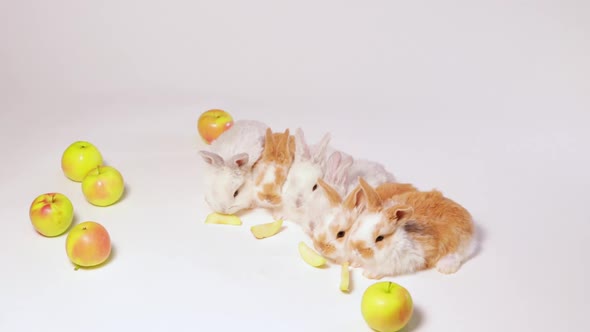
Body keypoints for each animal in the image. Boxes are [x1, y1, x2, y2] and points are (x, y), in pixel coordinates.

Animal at [350, 178, 478, 278]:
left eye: (380, 238)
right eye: (359, 224)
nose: (357, 250)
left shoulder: (405, 261)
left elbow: (384, 269)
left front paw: (369, 273)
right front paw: (355, 263)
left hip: (458, 241)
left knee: (457, 255)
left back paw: (445, 267)